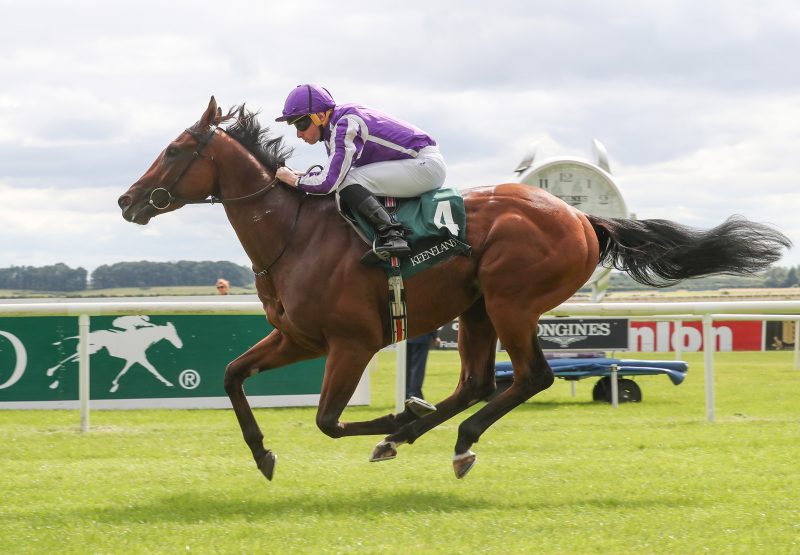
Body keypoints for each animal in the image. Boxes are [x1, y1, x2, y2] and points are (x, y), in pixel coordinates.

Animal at [115, 97, 792, 480]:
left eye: (174, 149)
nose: (126, 201)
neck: (295, 234)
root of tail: (582, 218)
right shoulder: (298, 337)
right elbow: (232, 375)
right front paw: (262, 456)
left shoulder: (352, 343)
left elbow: (329, 421)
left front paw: (393, 414)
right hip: (477, 310)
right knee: (476, 382)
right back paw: (416, 435)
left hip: (511, 300)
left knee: (530, 377)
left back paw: (443, 438)